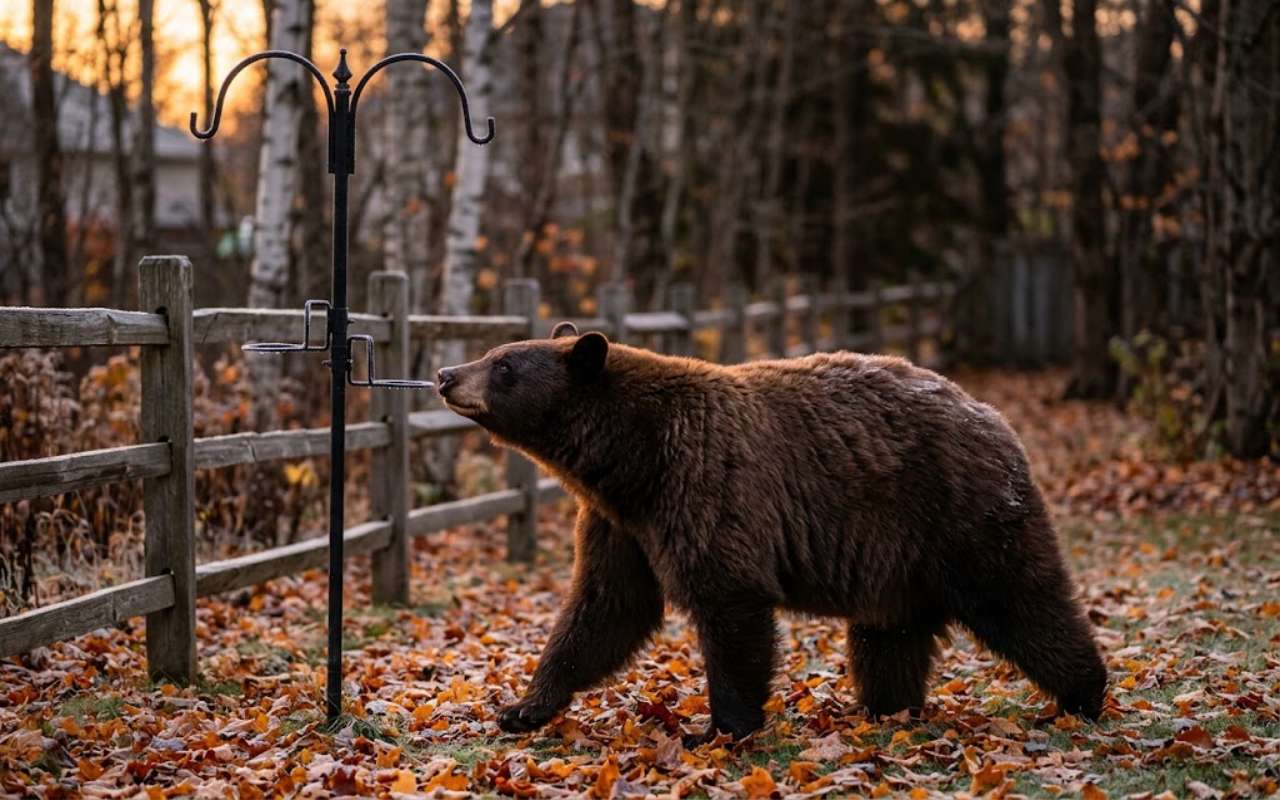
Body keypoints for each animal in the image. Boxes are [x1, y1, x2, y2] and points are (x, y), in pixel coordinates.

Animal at [436, 322, 1107, 742]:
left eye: (503, 365)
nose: (445, 373)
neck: (630, 461)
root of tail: (995, 418)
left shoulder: (706, 487)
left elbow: (729, 605)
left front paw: (719, 727)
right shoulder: (619, 525)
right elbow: (604, 608)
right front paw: (522, 708)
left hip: (957, 512)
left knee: (1021, 598)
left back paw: (1083, 695)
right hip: (896, 558)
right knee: (888, 635)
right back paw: (887, 709)